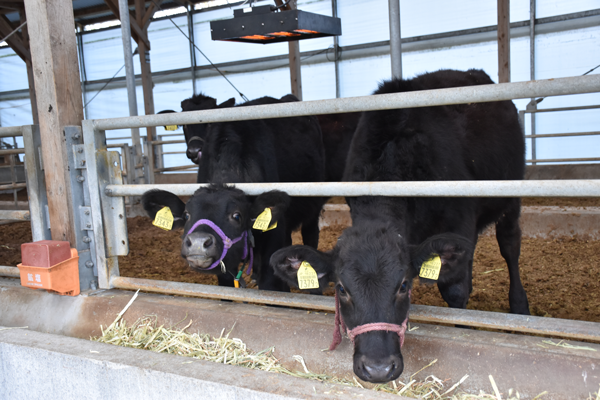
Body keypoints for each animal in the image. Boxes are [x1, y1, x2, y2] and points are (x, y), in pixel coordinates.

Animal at [270, 69, 528, 384]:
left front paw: (465, 329)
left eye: (404, 285)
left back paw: (519, 305)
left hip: (511, 194)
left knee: (510, 245)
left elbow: (455, 290)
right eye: (341, 289)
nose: (378, 368)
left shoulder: (461, 220)